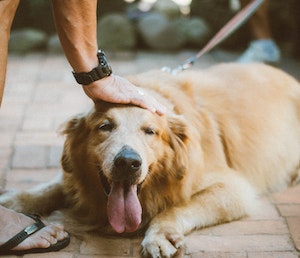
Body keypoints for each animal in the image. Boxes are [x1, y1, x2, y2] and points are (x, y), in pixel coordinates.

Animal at [0, 63, 300, 258]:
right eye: (105, 127)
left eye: (150, 131)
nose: (127, 162)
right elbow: (52, 187)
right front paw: (15, 201)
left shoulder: (233, 188)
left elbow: (177, 207)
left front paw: (160, 234)